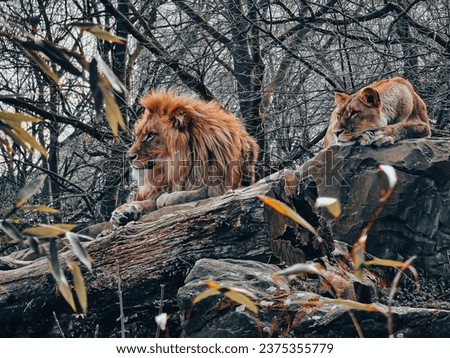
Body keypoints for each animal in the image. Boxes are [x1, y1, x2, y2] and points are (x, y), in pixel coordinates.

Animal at [110, 91, 260, 227]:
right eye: (138, 135)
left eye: (150, 135)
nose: (129, 157)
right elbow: (148, 201)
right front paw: (123, 211)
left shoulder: (220, 188)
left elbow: (188, 194)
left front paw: (165, 198)